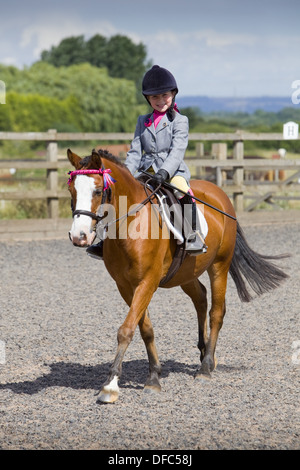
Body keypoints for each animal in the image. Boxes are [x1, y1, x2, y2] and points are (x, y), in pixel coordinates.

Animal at [67, 148, 288, 404]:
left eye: (97, 190)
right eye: (72, 190)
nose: (79, 236)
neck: (132, 225)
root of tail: (219, 193)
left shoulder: (147, 282)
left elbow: (126, 330)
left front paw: (110, 386)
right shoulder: (125, 285)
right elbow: (145, 329)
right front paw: (154, 376)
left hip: (219, 266)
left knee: (216, 313)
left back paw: (206, 366)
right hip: (186, 273)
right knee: (200, 298)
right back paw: (204, 353)